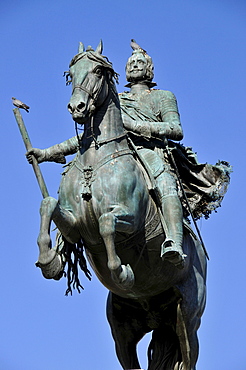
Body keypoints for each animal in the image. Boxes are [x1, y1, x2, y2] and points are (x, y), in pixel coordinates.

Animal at [36, 41, 206, 370]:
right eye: (70, 73)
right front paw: (50, 260)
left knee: (188, 355)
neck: (96, 160)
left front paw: (124, 273)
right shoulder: (75, 226)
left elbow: (106, 224)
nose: (77, 107)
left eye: (98, 70)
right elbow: (48, 205)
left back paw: (171, 251)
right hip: (123, 332)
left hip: (187, 323)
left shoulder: (130, 220)